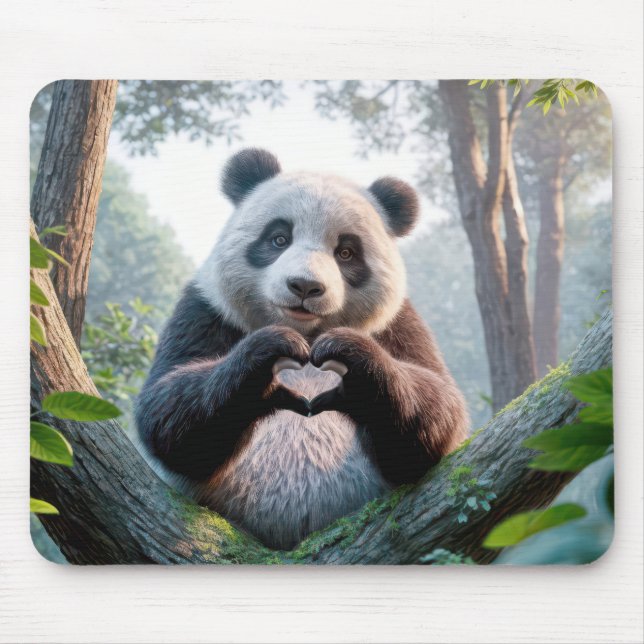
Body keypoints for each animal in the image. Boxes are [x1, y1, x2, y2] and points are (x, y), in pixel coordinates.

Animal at [136, 148, 469, 551]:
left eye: (346, 252)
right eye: (279, 238)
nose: (305, 286)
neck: (308, 335)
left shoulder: (398, 325)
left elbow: (437, 412)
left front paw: (355, 372)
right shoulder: (206, 310)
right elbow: (169, 410)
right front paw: (267, 363)